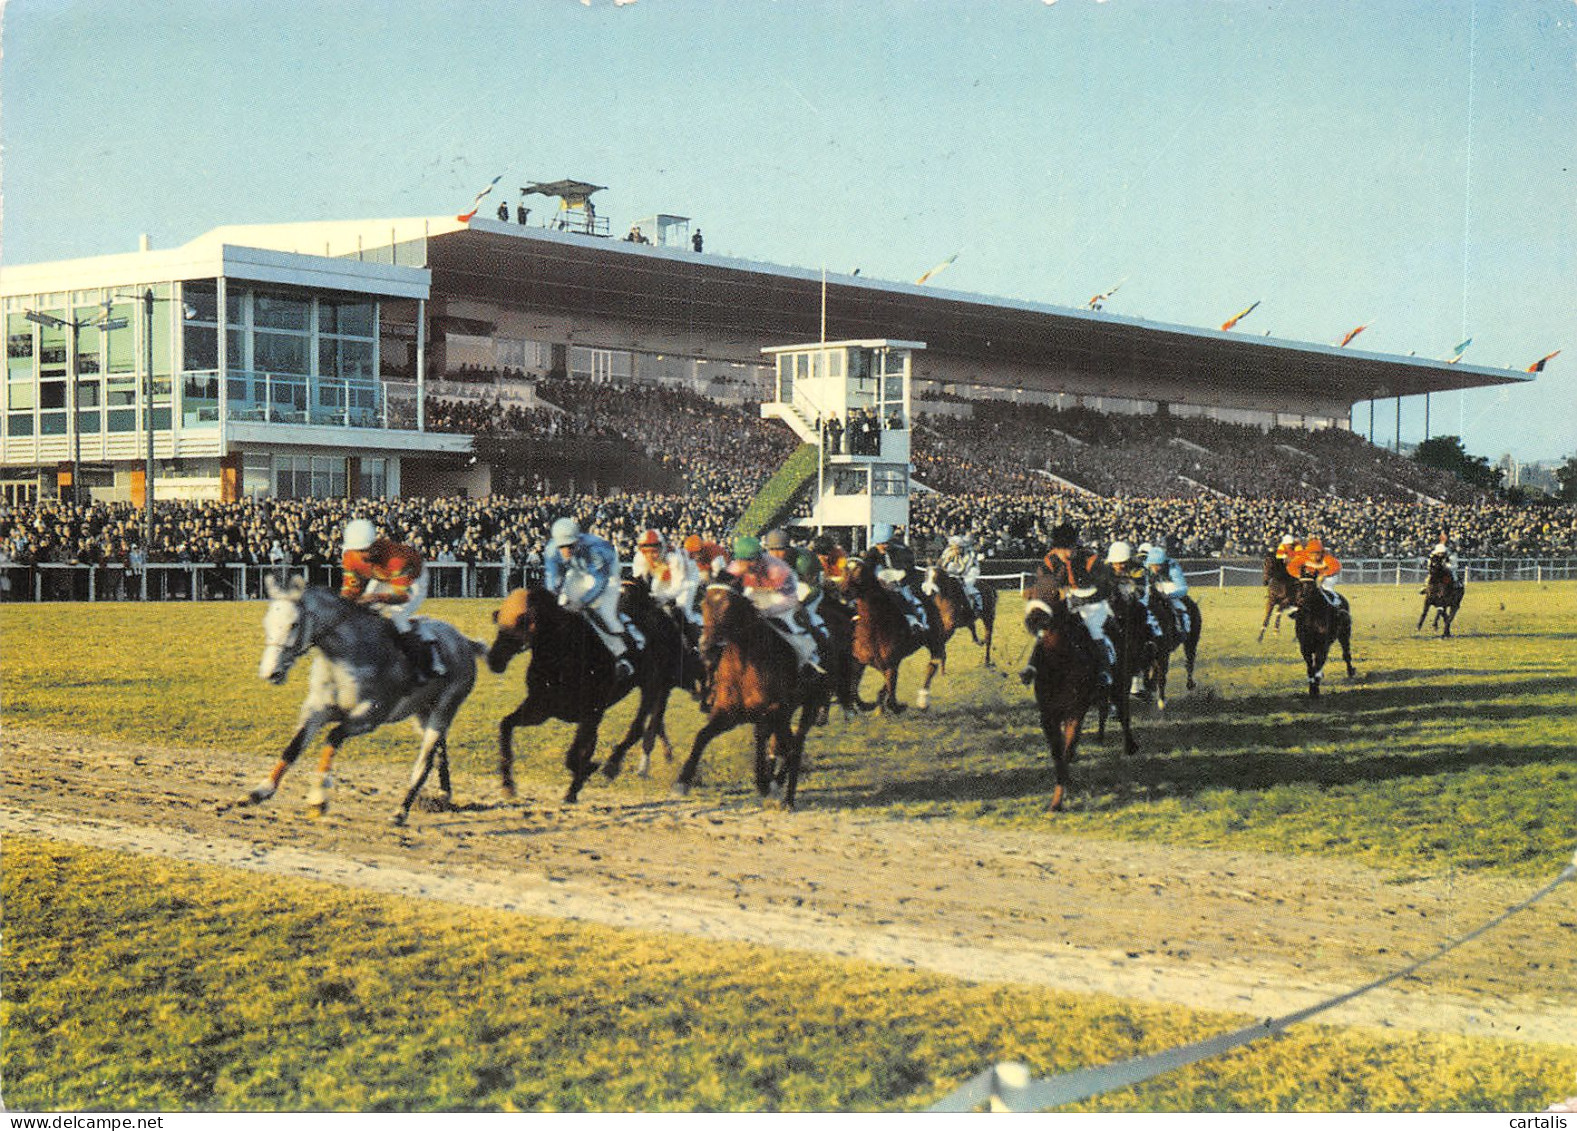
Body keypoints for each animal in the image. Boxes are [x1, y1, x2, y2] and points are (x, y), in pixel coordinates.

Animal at [246, 577, 485, 826]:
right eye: (267, 623)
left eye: (293, 624)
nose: (270, 673)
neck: (344, 655)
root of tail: (466, 642)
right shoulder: (317, 710)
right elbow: (294, 747)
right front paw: (262, 790)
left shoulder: (370, 716)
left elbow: (333, 737)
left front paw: (318, 799)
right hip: (422, 712)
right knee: (439, 751)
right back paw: (443, 794)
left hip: (444, 708)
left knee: (425, 760)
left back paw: (401, 811)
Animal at [485, 583, 684, 804]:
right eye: (499, 621)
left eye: (520, 623)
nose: (494, 659)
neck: (563, 655)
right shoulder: (540, 709)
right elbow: (506, 725)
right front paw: (508, 785)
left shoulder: (592, 712)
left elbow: (575, 755)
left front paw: (583, 776)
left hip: (653, 684)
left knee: (639, 725)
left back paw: (613, 765)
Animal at [674, 577, 832, 807]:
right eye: (703, 605)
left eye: (729, 606)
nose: (706, 648)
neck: (745, 664)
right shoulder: (729, 713)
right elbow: (703, 735)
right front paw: (682, 780)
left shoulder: (772, 709)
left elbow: (764, 737)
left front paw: (764, 783)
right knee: (786, 742)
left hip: (809, 704)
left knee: (796, 743)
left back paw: (785, 792)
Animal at [845, 558, 939, 709]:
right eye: (845, 570)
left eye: (859, 571)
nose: (844, 591)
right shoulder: (859, 662)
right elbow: (854, 692)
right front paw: (870, 704)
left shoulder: (890, 664)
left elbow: (891, 699)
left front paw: (895, 706)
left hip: (933, 641)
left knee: (934, 663)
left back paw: (923, 700)